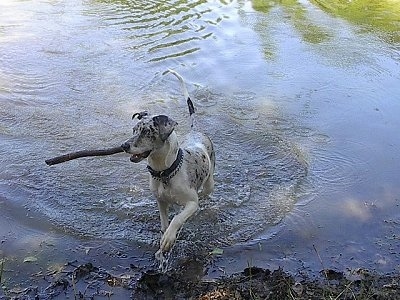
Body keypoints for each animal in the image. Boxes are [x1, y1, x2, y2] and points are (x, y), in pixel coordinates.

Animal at [121, 71, 216, 255]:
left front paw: (169, 239)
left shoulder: (192, 203)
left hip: (209, 182)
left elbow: (177, 219)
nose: (124, 146)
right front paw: (164, 236)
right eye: (134, 130)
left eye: (146, 132)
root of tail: (195, 131)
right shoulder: (160, 201)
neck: (164, 172)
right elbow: (165, 222)